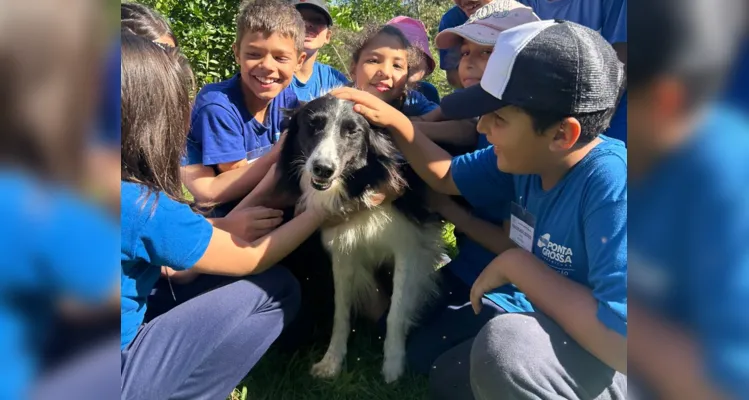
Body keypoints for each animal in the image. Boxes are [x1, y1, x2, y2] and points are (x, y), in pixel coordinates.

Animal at [276, 95, 442, 382]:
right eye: (313, 125)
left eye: (352, 131)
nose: (322, 169)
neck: (360, 183)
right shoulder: (344, 251)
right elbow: (340, 310)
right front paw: (331, 362)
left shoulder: (409, 245)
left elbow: (397, 310)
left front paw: (393, 367)